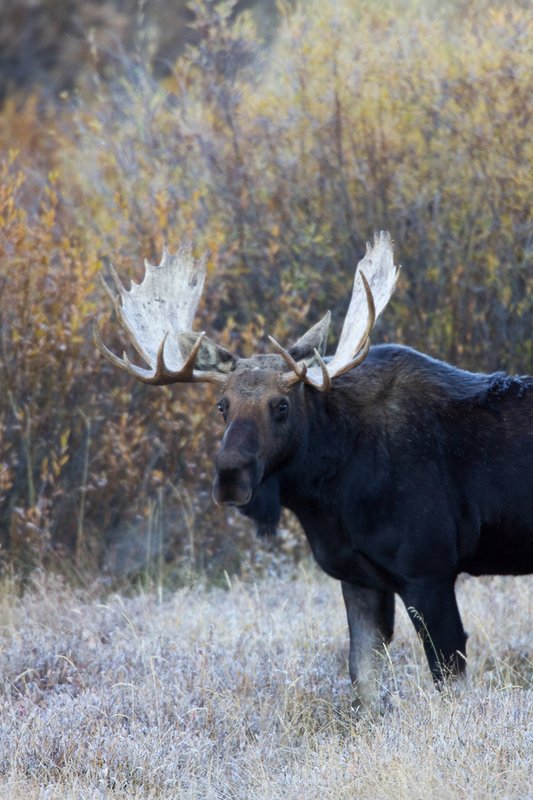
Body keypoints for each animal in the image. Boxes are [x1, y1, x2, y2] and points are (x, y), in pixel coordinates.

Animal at [95, 232, 533, 713]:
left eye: (282, 405)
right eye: (221, 406)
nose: (229, 476)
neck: (328, 502)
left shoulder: (429, 569)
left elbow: (448, 677)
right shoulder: (358, 578)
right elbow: (362, 679)